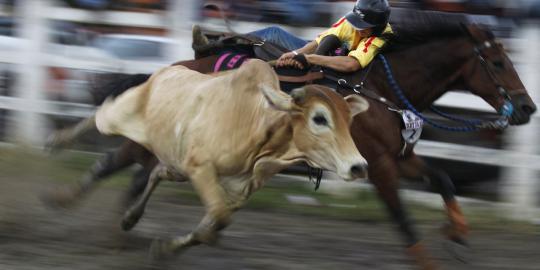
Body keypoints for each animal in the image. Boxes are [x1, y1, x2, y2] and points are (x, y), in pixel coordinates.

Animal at [52, 60, 370, 258]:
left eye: (349, 121)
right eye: (320, 118)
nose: (359, 167)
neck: (256, 125)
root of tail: (163, 72)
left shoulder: (237, 190)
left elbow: (216, 223)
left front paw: (166, 249)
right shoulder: (201, 168)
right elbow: (218, 218)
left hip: (175, 161)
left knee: (154, 174)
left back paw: (130, 218)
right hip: (127, 114)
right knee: (99, 116)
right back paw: (58, 148)